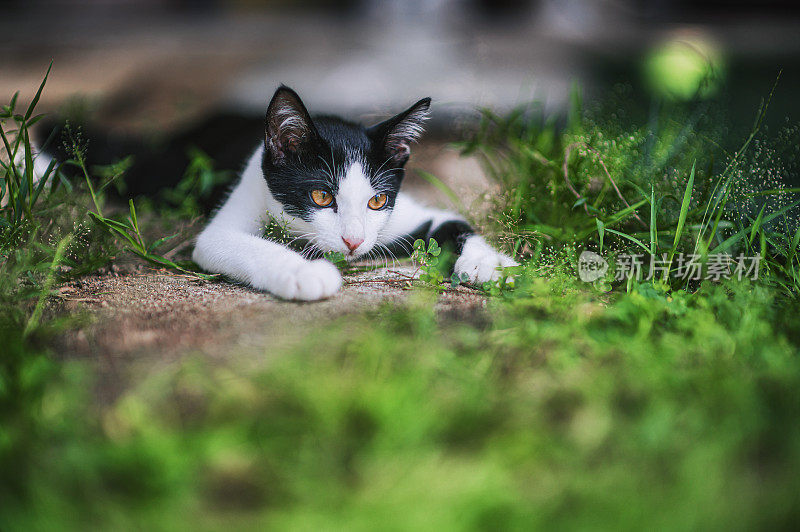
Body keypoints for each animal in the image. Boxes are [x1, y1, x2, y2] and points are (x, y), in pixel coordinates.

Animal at [194, 86, 520, 300]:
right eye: (321, 197)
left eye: (377, 200)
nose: (354, 241)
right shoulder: (244, 197)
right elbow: (228, 242)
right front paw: (304, 272)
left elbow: (455, 222)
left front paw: (492, 264)